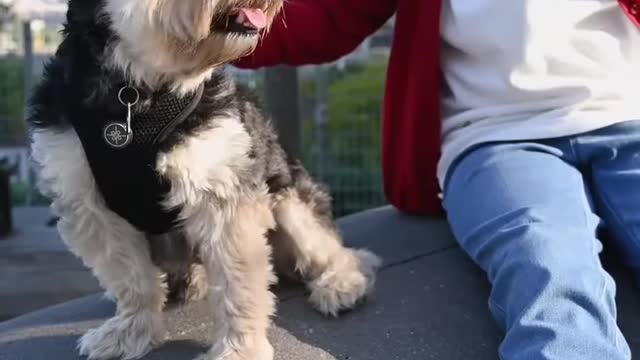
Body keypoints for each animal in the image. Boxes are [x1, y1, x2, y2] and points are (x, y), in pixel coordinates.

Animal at [27, 0, 380, 360]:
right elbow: (130, 278)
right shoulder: (86, 202)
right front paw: (131, 330)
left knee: (333, 247)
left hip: (290, 200)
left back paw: (341, 283)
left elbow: (238, 282)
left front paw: (240, 349)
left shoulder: (221, 191)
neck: (137, 91)